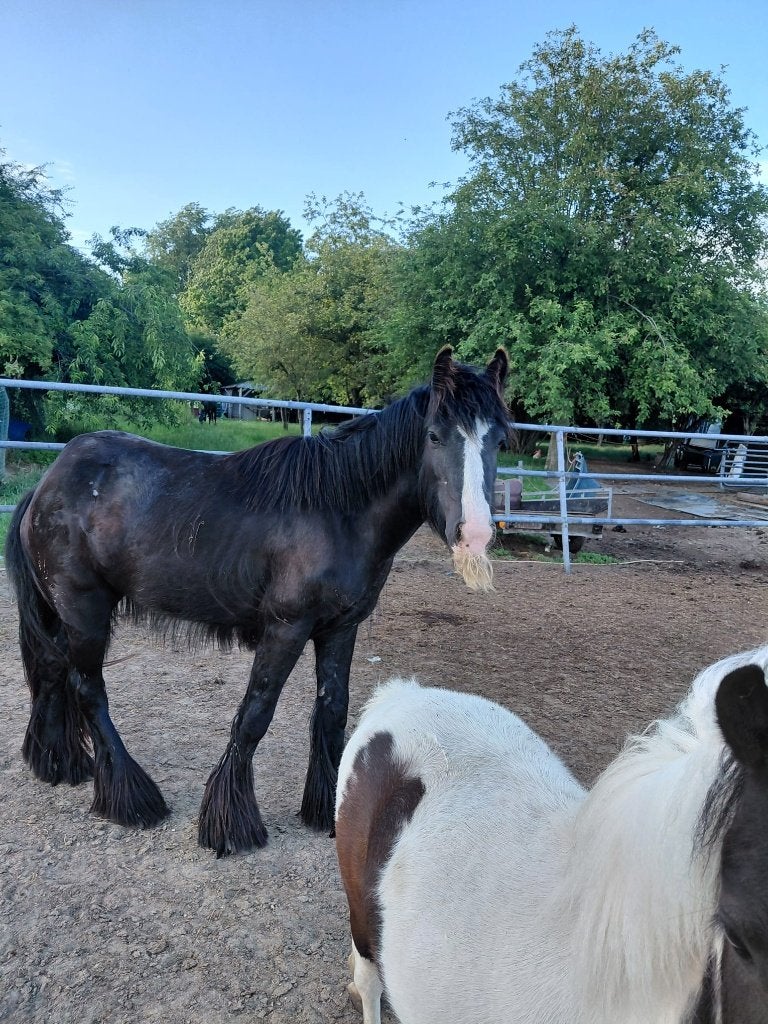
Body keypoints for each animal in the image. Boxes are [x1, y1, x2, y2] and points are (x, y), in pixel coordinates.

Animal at [5, 346, 510, 857]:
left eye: (499, 439)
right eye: (434, 435)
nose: (474, 535)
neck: (338, 510)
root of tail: (46, 485)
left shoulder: (340, 628)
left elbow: (333, 712)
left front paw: (327, 809)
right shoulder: (286, 628)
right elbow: (254, 715)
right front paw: (230, 824)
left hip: (62, 614)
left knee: (52, 669)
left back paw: (58, 762)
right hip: (85, 611)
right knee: (88, 689)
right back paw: (131, 798)